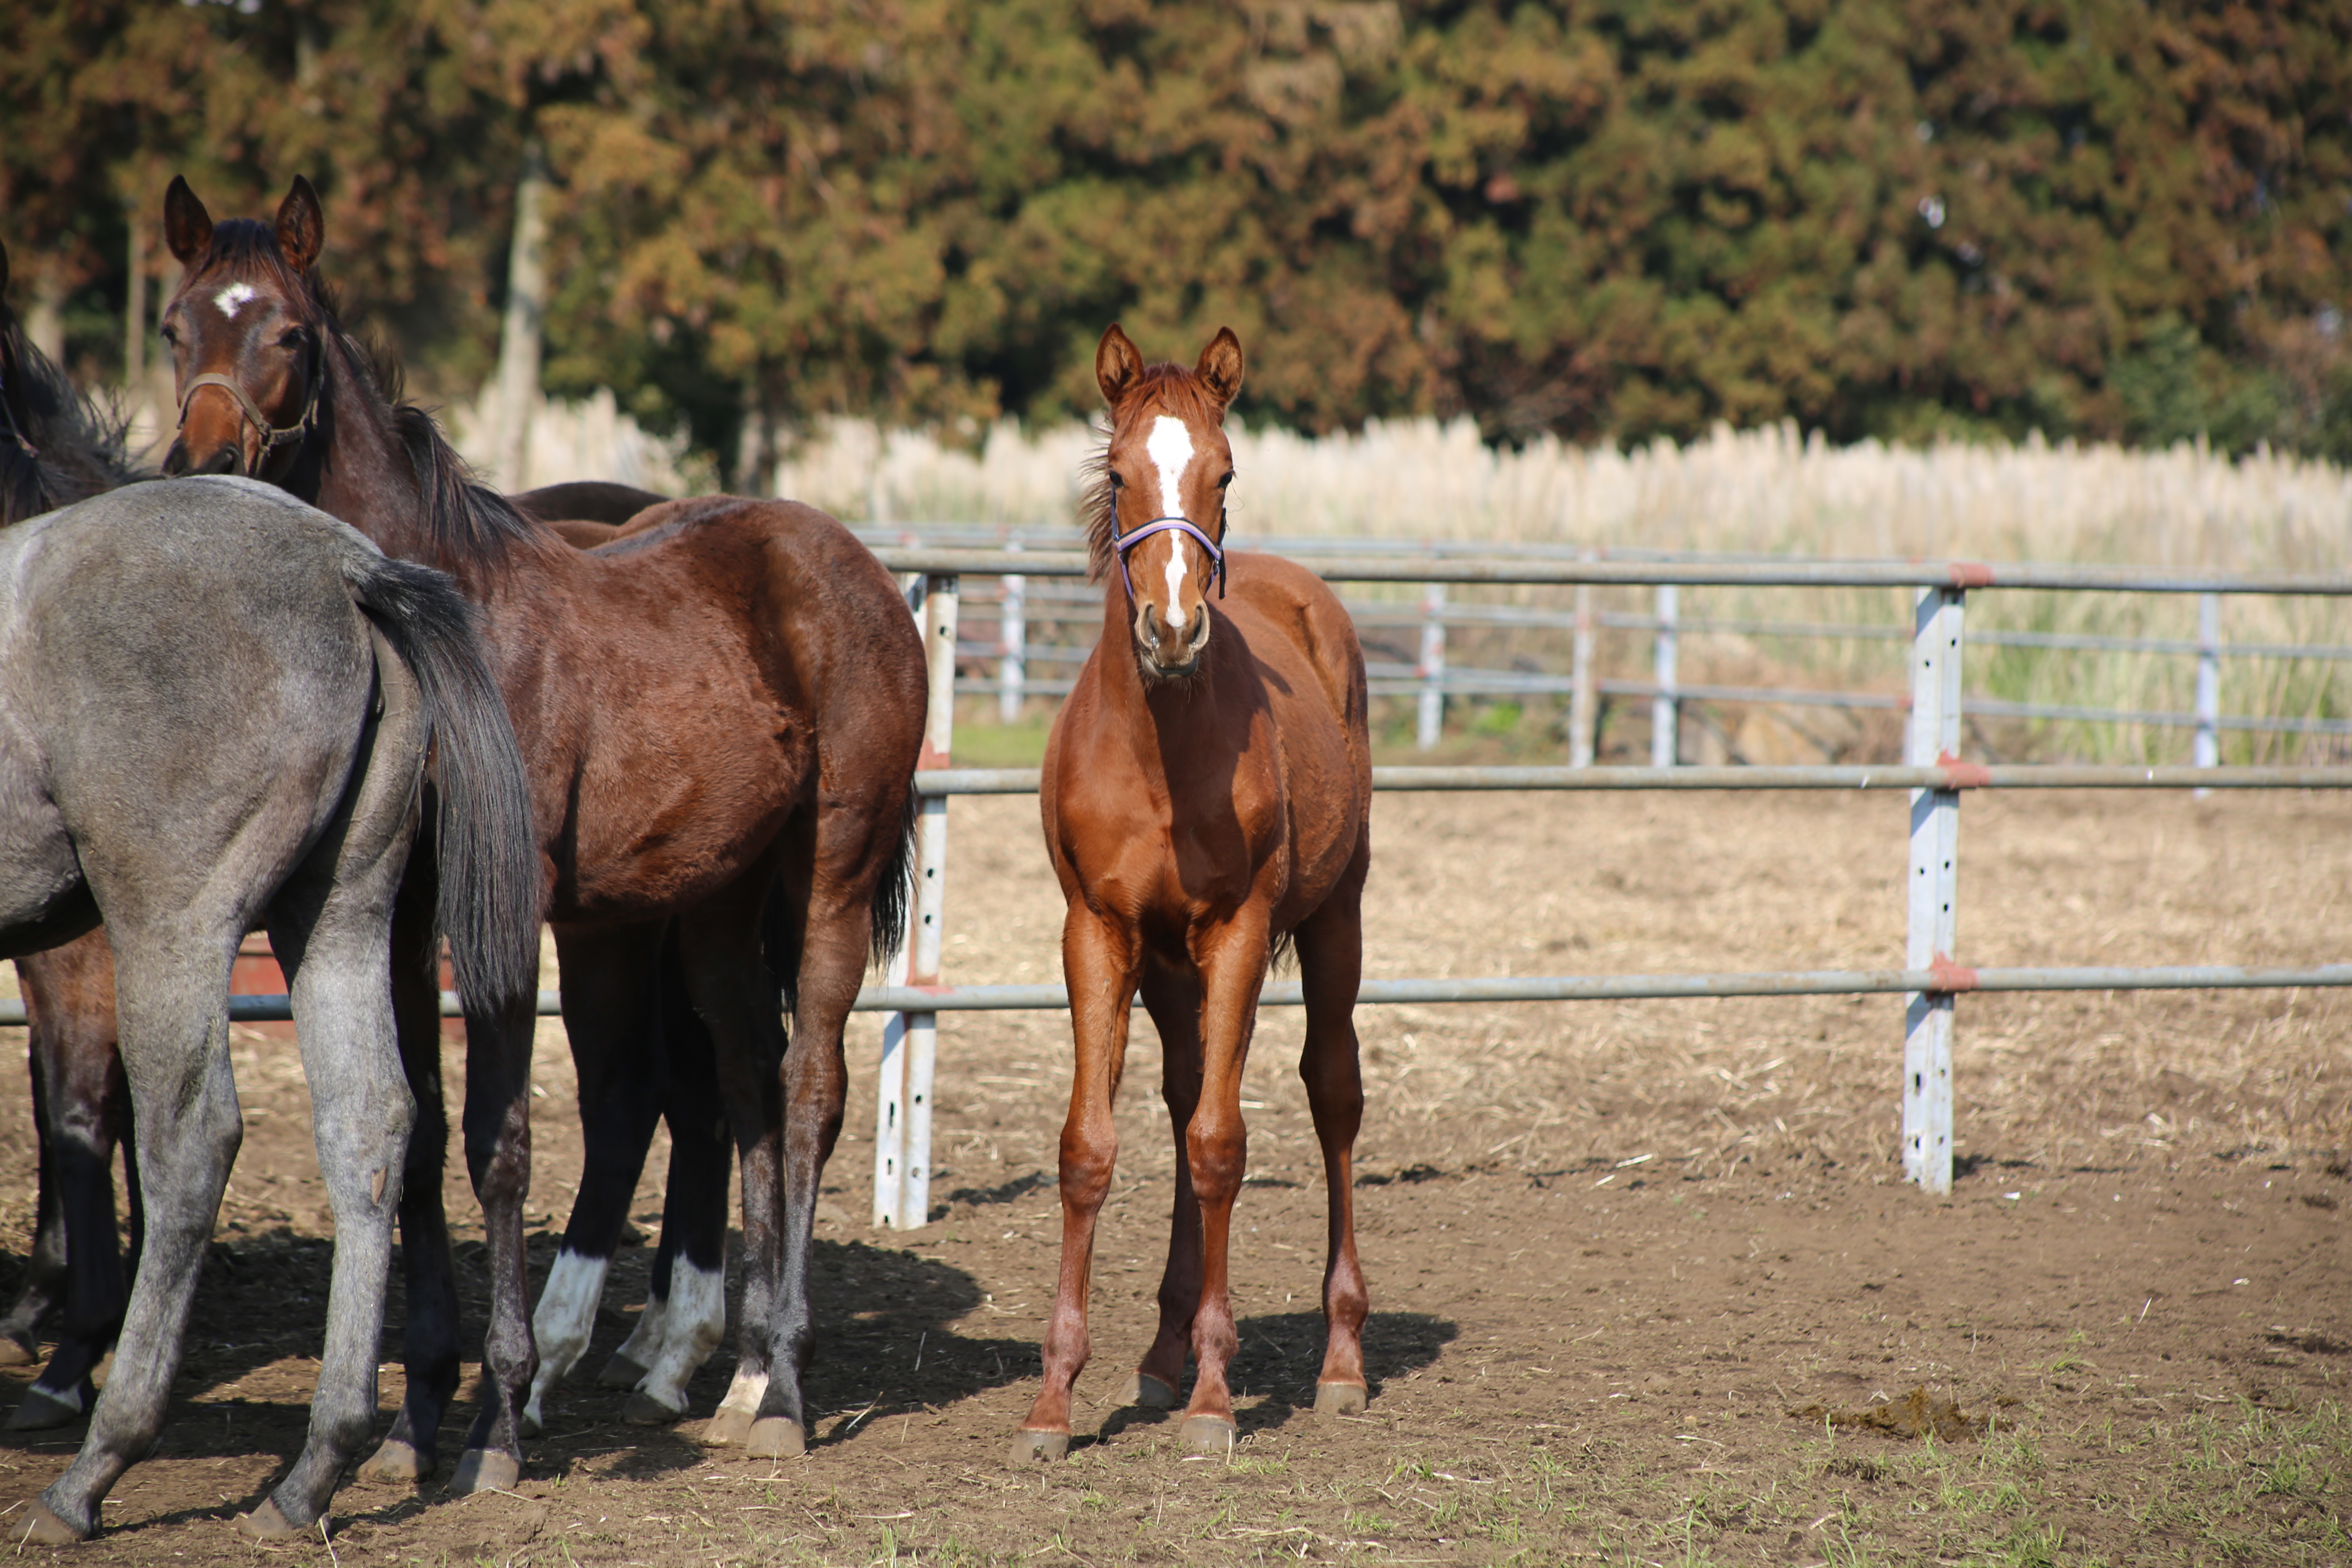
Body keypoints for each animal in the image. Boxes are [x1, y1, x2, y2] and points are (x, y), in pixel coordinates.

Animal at [0, 472, 539, 1542]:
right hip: (337, 912)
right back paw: (314, 1471)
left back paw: (93, 1470)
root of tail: (345, 566)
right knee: (369, 1127)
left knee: (191, 1142)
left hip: (170, 923)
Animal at [154, 177, 927, 1495]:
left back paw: (784, 1387)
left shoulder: (502, 923)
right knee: (746, 1079)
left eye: (289, 334)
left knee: (812, 1088)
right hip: (715, 903)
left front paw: (497, 1423)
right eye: (174, 325)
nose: (204, 471)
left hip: (827, 873)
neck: (445, 628)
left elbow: (500, 1143)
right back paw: (742, 1377)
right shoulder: (400, 918)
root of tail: (860, 570)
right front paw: (415, 1419)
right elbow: (416, 1135)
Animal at [1016, 324, 1373, 1467]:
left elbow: (1222, 1146)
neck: (1161, 752)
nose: (1172, 632)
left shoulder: (1239, 932)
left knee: (1331, 1095)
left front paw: (1215, 1403)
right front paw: (1054, 1404)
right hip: (1169, 970)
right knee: (1178, 1102)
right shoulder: (1097, 932)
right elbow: (1090, 1149)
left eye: (1223, 473)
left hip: (1335, 921)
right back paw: (1163, 1354)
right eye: (1119, 476)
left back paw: (1339, 1359)